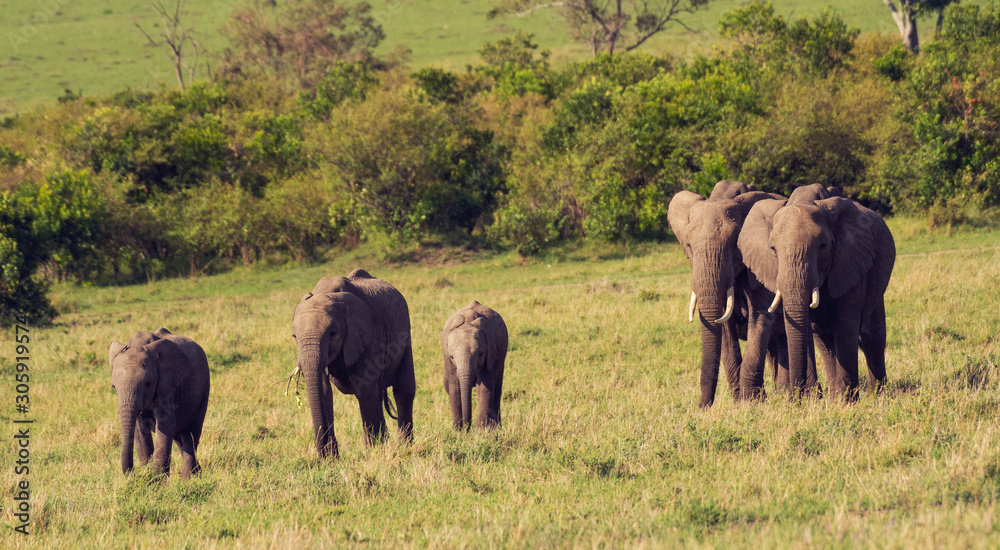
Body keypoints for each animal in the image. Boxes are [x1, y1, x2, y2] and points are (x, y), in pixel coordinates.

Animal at [108, 330, 210, 480]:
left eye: (148, 383)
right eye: (114, 387)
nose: (133, 475)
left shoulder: (168, 384)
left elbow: (165, 426)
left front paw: (156, 481)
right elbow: (139, 430)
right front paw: (149, 478)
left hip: (204, 389)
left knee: (191, 435)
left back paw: (187, 480)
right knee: (180, 438)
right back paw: (197, 474)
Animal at [292, 270, 416, 460]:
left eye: (333, 334)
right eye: (294, 337)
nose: (321, 456)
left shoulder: (368, 334)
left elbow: (364, 389)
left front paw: (375, 454)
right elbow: (324, 391)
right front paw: (332, 460)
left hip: (405, 336)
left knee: (403, 390)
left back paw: (404, 446)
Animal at [444, 302, 508, 432]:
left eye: (480, 354)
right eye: (452, 357)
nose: (467, 428)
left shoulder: (490, 353)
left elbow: (484, 386)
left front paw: (481, 431)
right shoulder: (448, 360)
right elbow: (454, 387)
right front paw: (457, 432)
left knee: (497, 387)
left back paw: (496, 427)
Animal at [668, 179, 784, 408]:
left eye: (734, 244)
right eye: (689, 245)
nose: (702, 407)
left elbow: (760, 318)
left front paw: (752, 403)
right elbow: (724, 330)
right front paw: (740, 403)